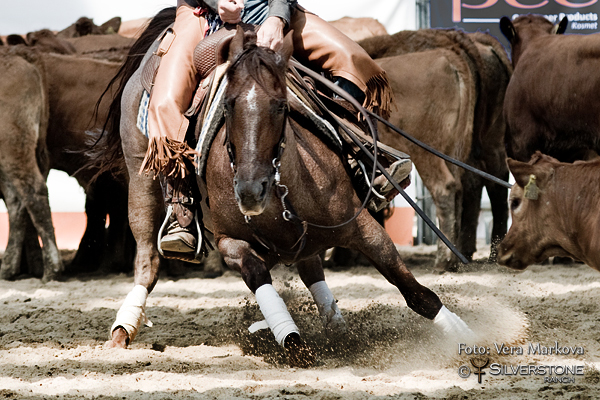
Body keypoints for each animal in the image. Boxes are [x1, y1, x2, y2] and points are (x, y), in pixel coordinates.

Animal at [104, 10, 474, 366]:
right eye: (227, 105)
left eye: (281, 104)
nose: (250, 191)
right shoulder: (229, 242)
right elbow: (257, 274)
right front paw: (291, 338)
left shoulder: (363, 227)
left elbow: (415, 292)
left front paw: (466, 336)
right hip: (141, 181)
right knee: (148, 261)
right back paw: (123, 328)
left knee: (311, 266)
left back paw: (337, 326)